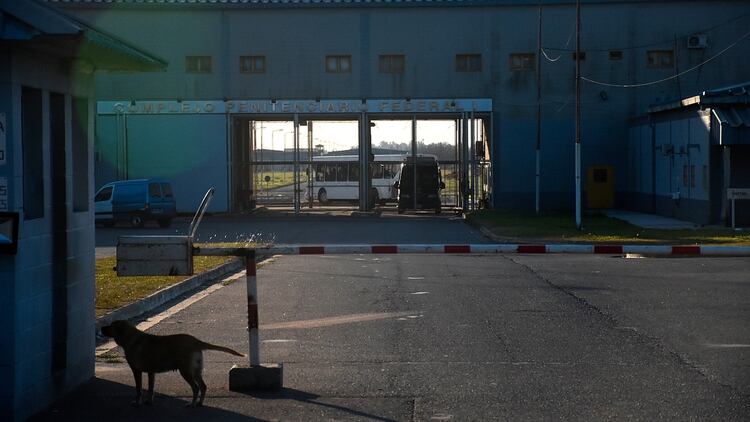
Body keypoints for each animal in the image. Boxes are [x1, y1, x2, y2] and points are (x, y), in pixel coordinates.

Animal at [100, 322, 245, 408]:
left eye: (111, 326)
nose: (101, 327)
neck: (131, 338)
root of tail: (196, 342)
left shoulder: (136, 371)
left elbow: (138, 389)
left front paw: (137, 402)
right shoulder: (151, 372)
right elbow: (151, 389)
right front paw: (149, 401)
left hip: (186, 371)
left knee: (195, 387)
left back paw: (192, 403)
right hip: (196, 370)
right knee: (203, 386)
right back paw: (199, 403)